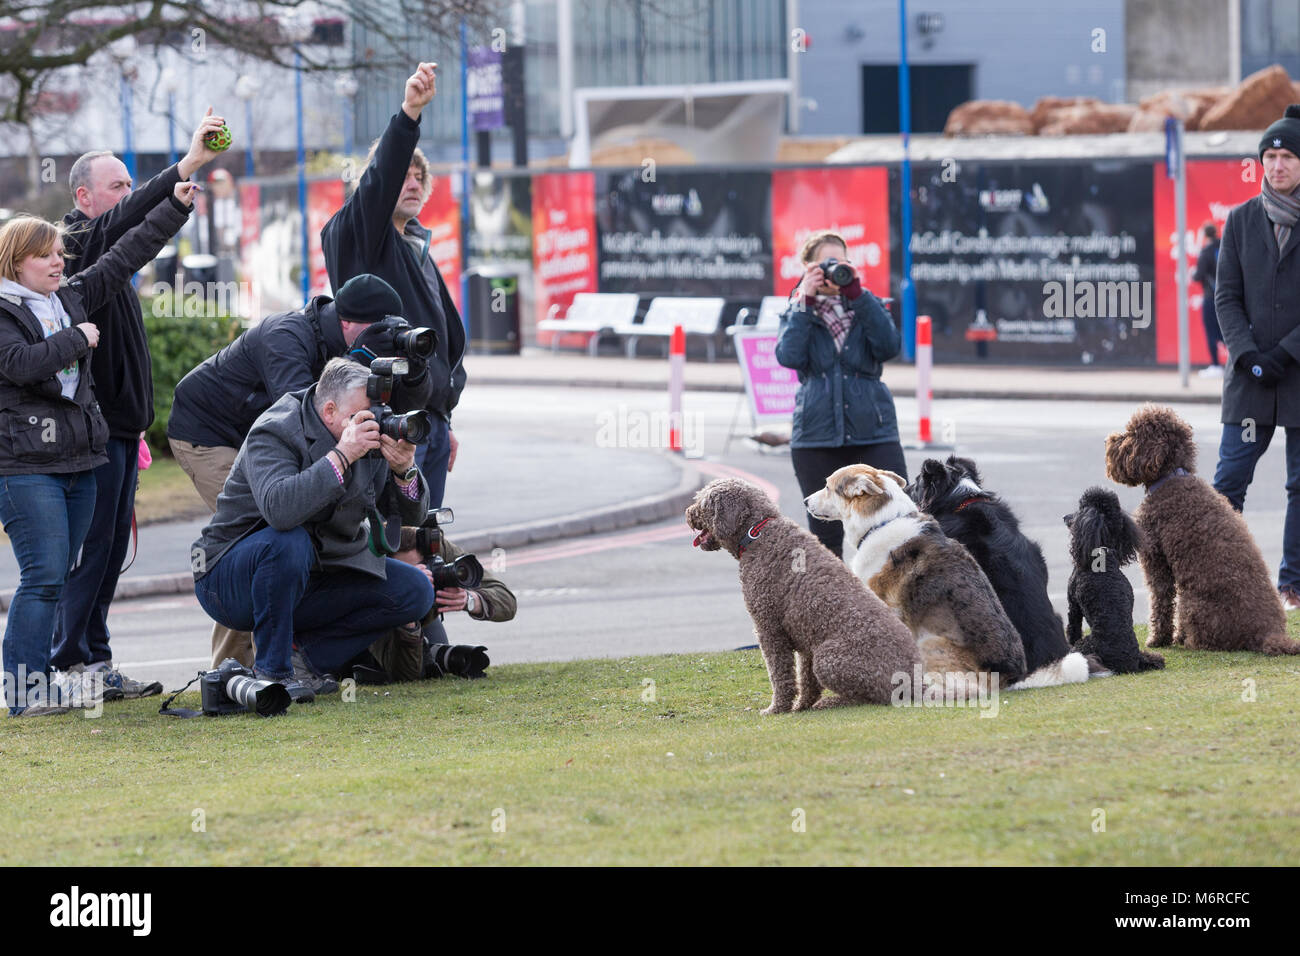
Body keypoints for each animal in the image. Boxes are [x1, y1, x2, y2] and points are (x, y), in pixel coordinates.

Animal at [686, 476, 920, 712]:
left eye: (703, 502)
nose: (688, 513)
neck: (758, 532)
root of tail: (917, 682)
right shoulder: (805, 637)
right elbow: (806, 681)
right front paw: (801, 705)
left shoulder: (769, 629)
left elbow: (780, 675)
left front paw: (777, 708)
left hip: (828, 659)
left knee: (874, 697)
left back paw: (830, 702)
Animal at [1107, 403, 1300, 658]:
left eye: (1130, 435)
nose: (1109, 440)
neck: (1171, 477)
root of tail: (1269, 633)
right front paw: (1174, 636)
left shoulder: (1156, 559)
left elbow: (1160, 601)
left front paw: (1158, 639)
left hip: (1194, 604)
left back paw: (1190, 641)